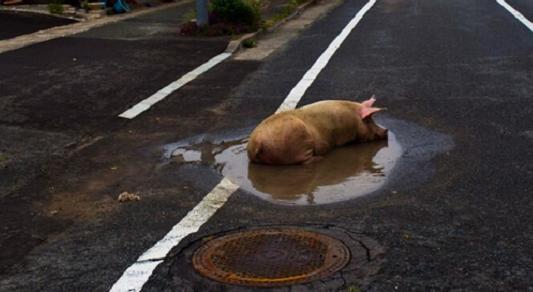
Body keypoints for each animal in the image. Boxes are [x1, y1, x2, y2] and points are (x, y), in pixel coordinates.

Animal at [245, 96, 386, 164]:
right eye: (369, 120)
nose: (386, 131)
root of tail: (257, 143)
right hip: (299, 142)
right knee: (304, 161)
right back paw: (320, 159)